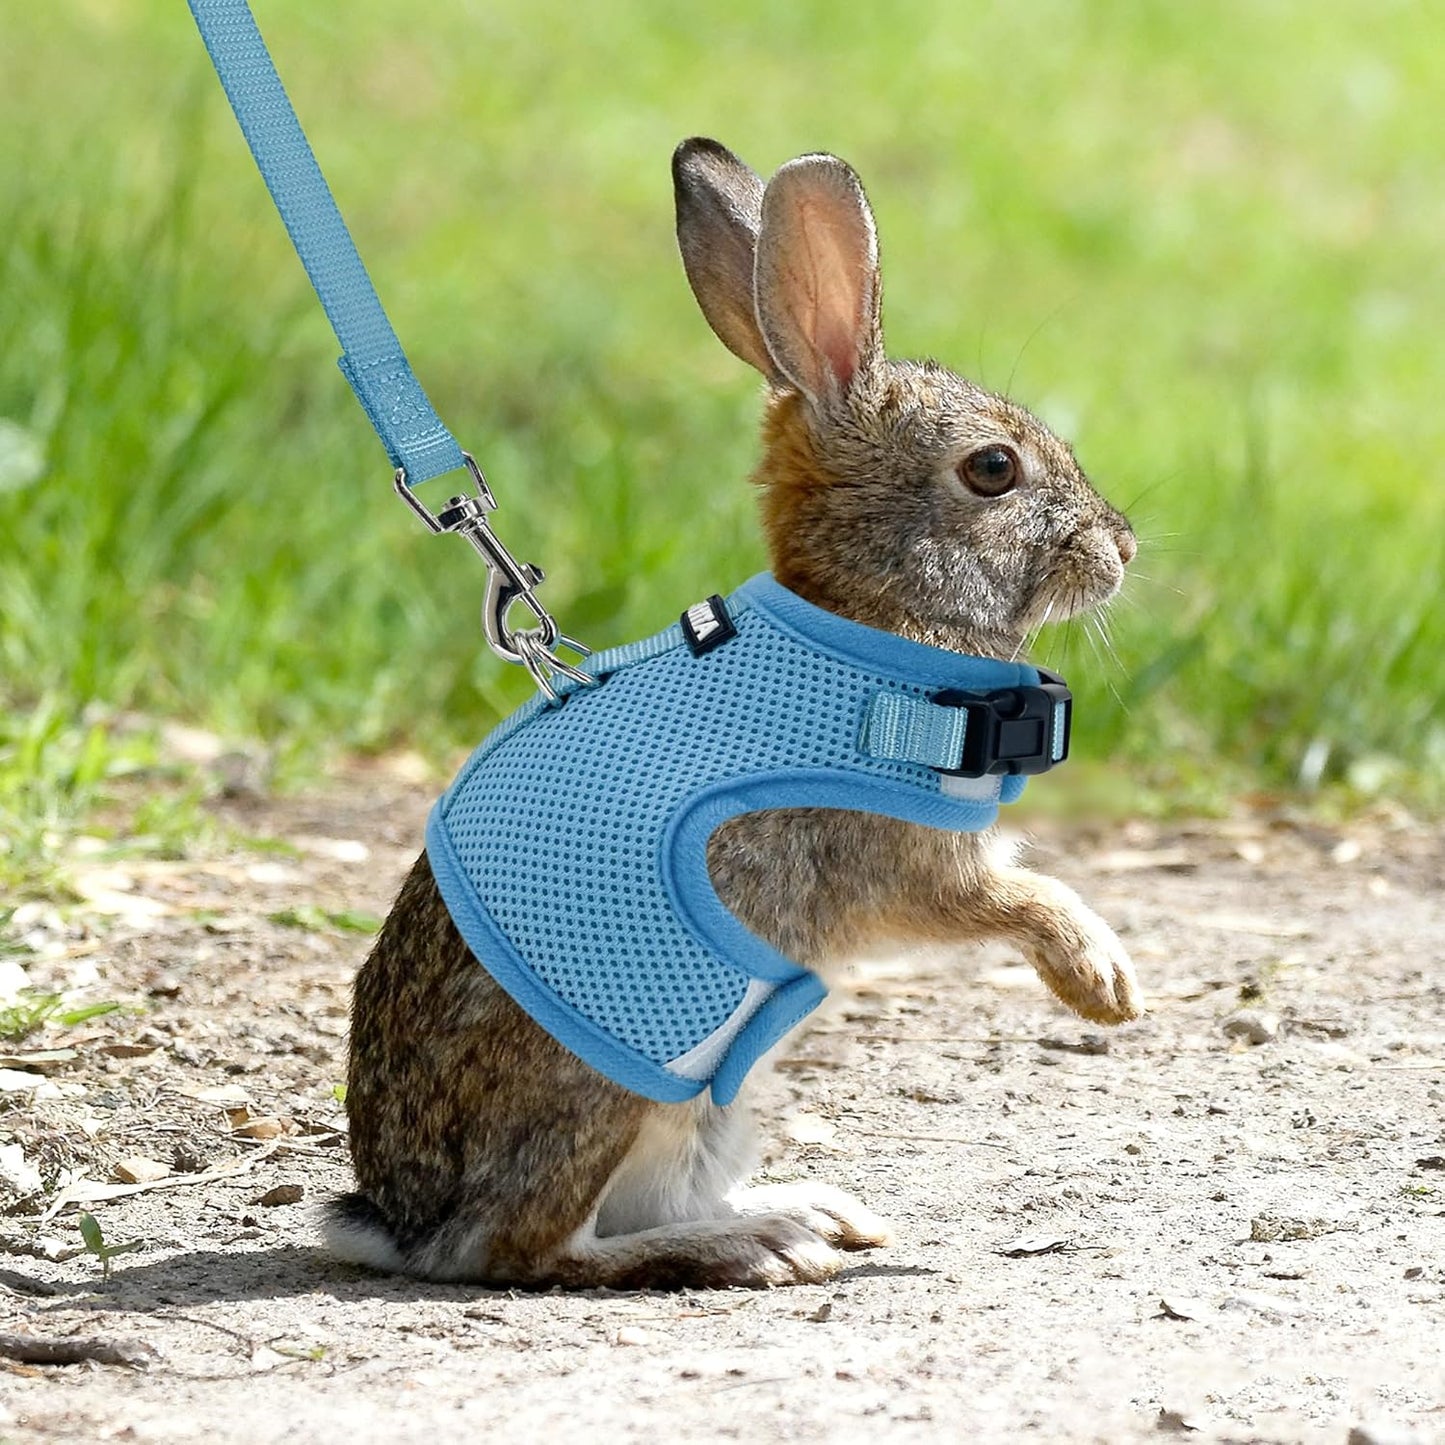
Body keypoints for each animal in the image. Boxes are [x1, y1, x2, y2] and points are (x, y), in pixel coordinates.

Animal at [326, 136, 1142, 1289]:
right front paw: (1102, 983)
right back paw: (753, 1242)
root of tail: (401, 1219)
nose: (1122, 548)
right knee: (535, 1246)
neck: (872, 618)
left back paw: (804, 1210)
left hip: (715, 1102)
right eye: (993, 469)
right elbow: (1019, 899)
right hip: (624, 1080)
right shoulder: (905, 862)